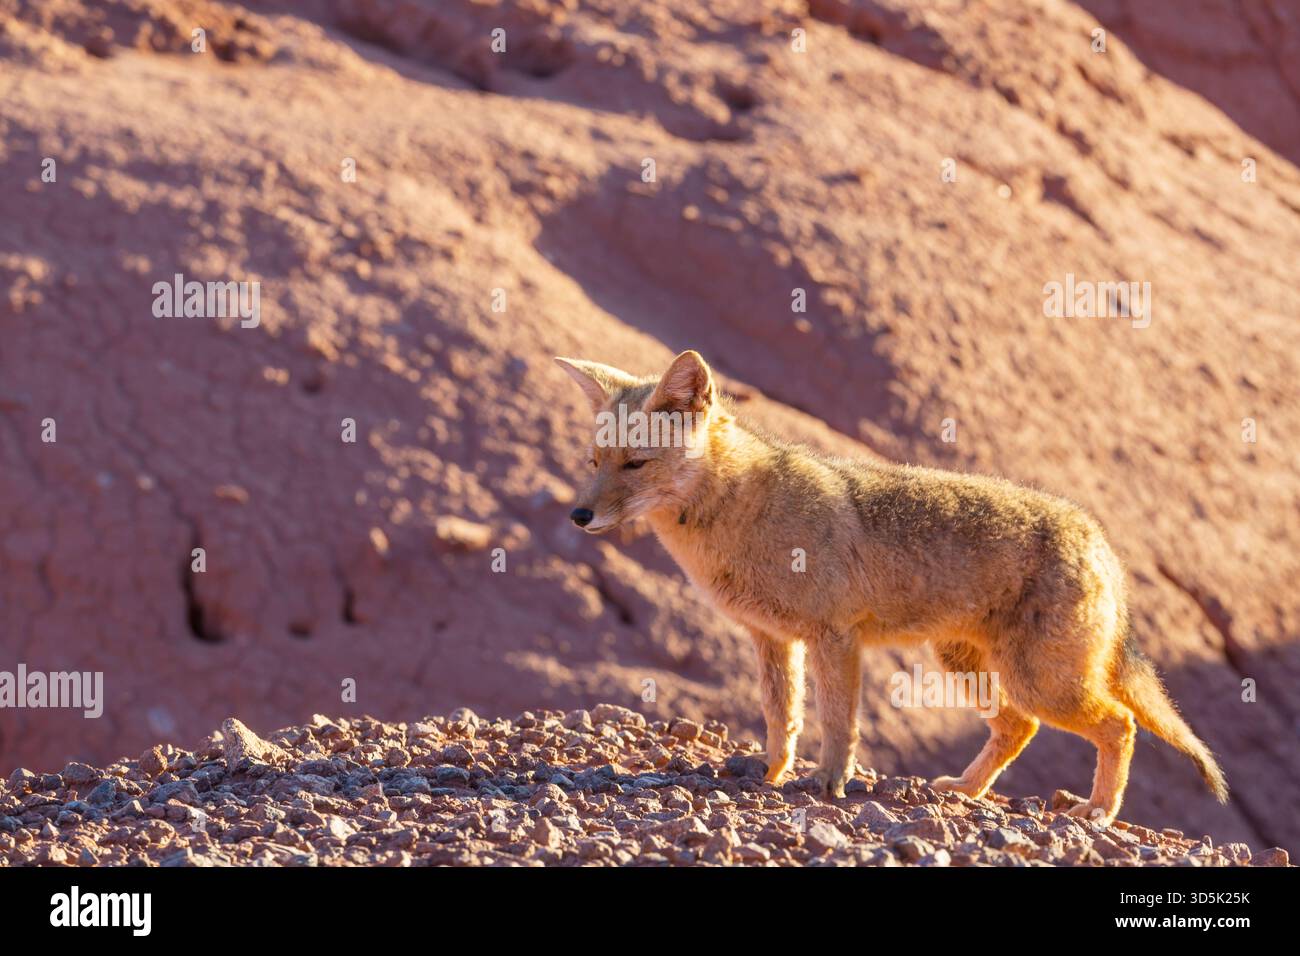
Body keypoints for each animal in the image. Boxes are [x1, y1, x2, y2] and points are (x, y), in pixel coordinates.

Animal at [555, 349, 1228, 825]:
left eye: (635, 464)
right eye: (593, 461)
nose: (578, 517)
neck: (736, 511)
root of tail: (1099, 537)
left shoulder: (834, 637)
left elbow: (837, 722)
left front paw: (828, 784)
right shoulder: (772, 638)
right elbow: (781, 716)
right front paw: (771, 773)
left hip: (1041, 681)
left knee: (1120, 724)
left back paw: (1098, 811)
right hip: (973, 668)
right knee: (1018, 728)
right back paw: (966, 790)